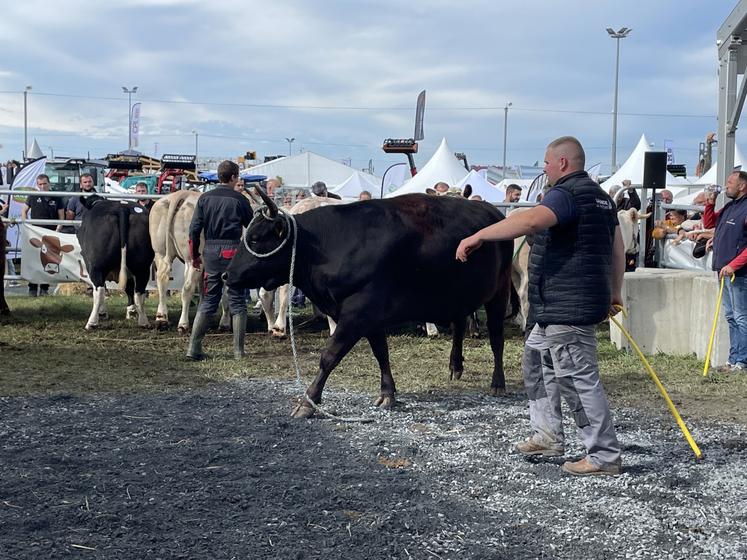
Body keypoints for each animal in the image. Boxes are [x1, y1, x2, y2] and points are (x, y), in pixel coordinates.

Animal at [77, 196, 155, 330]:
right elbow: (129, 288)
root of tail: (122, 208)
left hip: (97, 267)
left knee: (99, 290)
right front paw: (131, 311)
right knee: (139, 291)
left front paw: (102, 313)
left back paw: (92, 323)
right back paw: (143, 321)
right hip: (142, 267)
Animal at [224, 190, 516, 418]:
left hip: (499, 293)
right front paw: (388, 393)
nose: (227, 275)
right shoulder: (370, 316)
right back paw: (455, 366)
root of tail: (494, 212)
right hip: (457, 295)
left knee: (496, 339)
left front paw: (309, 401)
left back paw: (498, 382)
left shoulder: (358, 312)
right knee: (458, 326)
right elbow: (381, 353)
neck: (330, 245)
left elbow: (329, 356)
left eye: (255, 239)